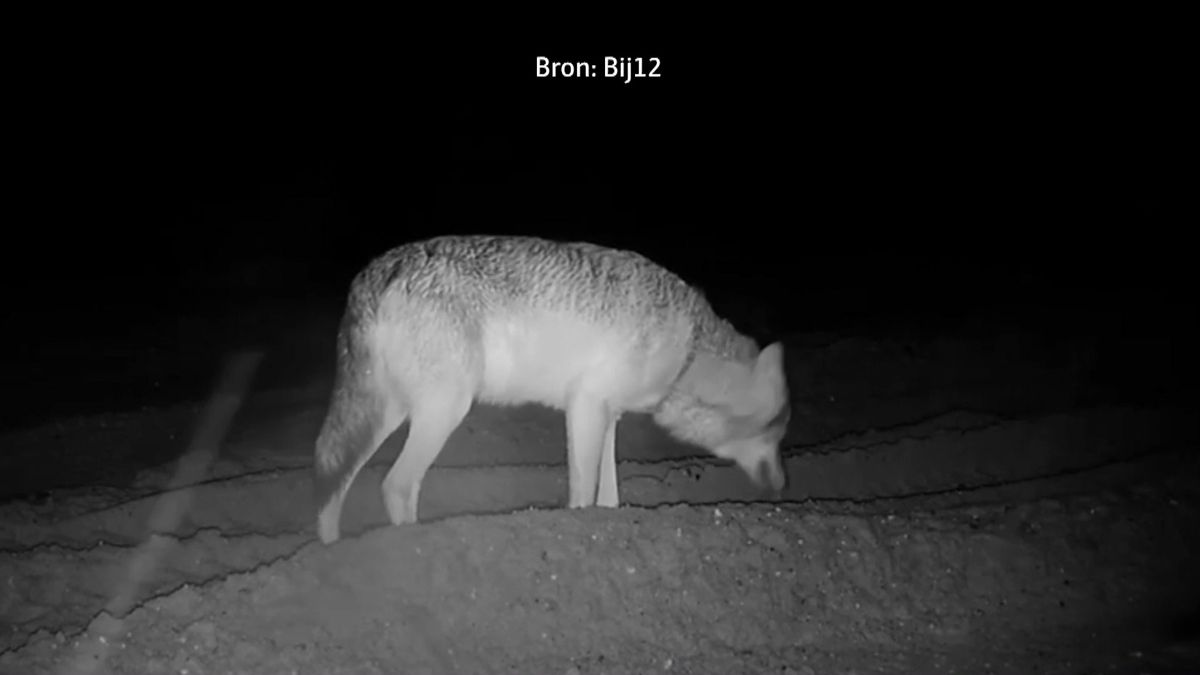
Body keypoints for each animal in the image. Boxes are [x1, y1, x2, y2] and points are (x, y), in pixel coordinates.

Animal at [313, 235, 790, 544]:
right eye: (775, 433)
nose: (783, 487)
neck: (689, 349)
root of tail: (378, 270)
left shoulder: (605, 416)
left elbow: (608, 498)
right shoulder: (585, 407)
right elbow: (582, 495)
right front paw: (578, 533)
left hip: (388, 415)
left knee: (336, 480)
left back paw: (330, 551)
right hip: (443, 412)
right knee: (395, 485)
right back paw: (413, 545)